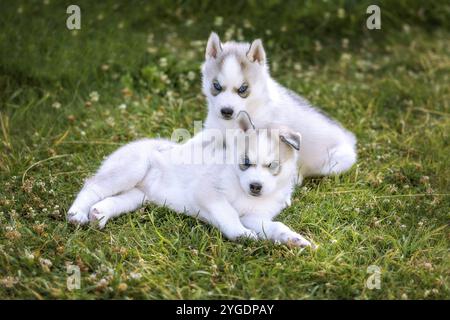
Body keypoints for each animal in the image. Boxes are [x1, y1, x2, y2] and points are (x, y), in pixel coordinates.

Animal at [67, 112, 312, 248]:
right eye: (245, 162)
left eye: (273, 166)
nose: (255, 186)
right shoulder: (207, 192)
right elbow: (228, 213)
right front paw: (240, 234)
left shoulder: (254, 217)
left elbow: (275, 226)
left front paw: (293, 240)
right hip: (131, 169)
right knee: (93, 186)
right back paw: (77, 214)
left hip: (138, 195)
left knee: (116, 200)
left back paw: (100, 213)